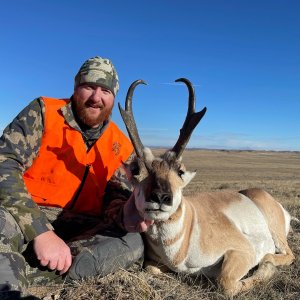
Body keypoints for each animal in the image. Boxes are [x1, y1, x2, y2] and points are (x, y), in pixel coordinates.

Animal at [118, 78, 296, 296]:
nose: (160, 197)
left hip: (274, 230)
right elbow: (151, 268)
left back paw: (269, 259)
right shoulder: (155, 263)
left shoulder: (242, 250)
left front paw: (266, 268)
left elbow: (225, 282)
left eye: (180, 171)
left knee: (287, 254)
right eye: (137, 171)